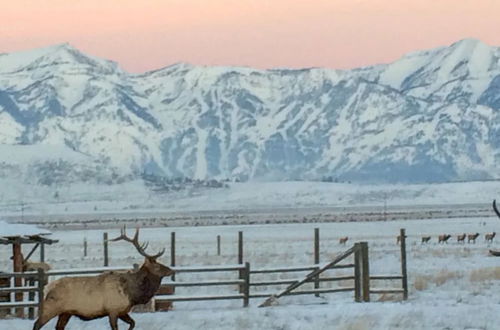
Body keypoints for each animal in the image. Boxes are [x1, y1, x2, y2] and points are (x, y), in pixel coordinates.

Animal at [33, 228, 174, 330]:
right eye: (157, 265)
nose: (172, 270)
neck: (132, 293)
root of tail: (47, 288)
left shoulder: (123, 311)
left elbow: (133, 323)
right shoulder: (113, 310)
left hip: (66, 312)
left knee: (59, 327)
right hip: (51, 307)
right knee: (37, 324)